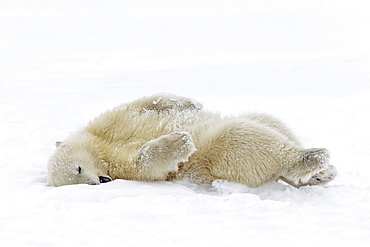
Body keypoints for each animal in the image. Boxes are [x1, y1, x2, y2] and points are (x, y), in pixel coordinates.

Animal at [47, 93, 336, 188]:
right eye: (76, 183)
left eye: (78, 168)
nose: (101, 181)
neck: (103, 150)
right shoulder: (125, 169)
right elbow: (147, 164)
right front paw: (180, 141)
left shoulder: (106, 123)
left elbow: (145, 103)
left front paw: (190, 103)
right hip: (213, 158)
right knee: (238, 137)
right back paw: (311, 161)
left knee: (267, 120)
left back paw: (322, 170)